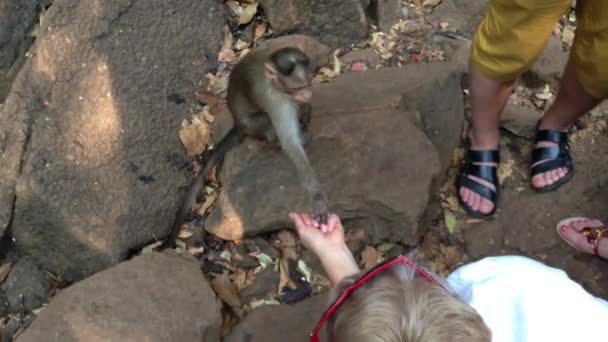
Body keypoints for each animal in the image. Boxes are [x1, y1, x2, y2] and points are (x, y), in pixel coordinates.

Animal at [157, 46, 328, 251]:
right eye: (296, 88)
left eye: (307, 84)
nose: (307, 94)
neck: (274, 81)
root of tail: (238, 124)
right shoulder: (276, 100)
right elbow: (289, 143)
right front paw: (316, 196)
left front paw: (307, 109)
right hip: (252, 125)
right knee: (266, 121)